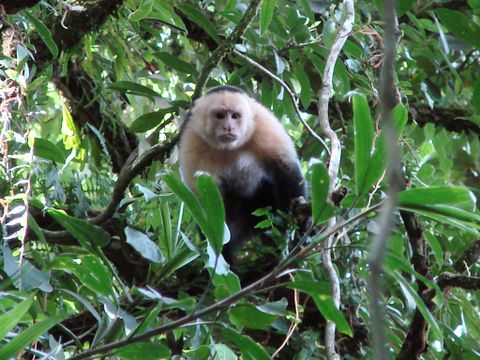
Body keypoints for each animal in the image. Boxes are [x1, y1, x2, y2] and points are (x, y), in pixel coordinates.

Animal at [178, 85, 306, 264]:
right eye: (220, 116)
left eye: (235, 116)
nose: (228, 128)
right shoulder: (192, 138)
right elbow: (203, 201)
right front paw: (222, 259)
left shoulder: (264, 125)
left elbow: (285, 169)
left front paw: (299, 224)